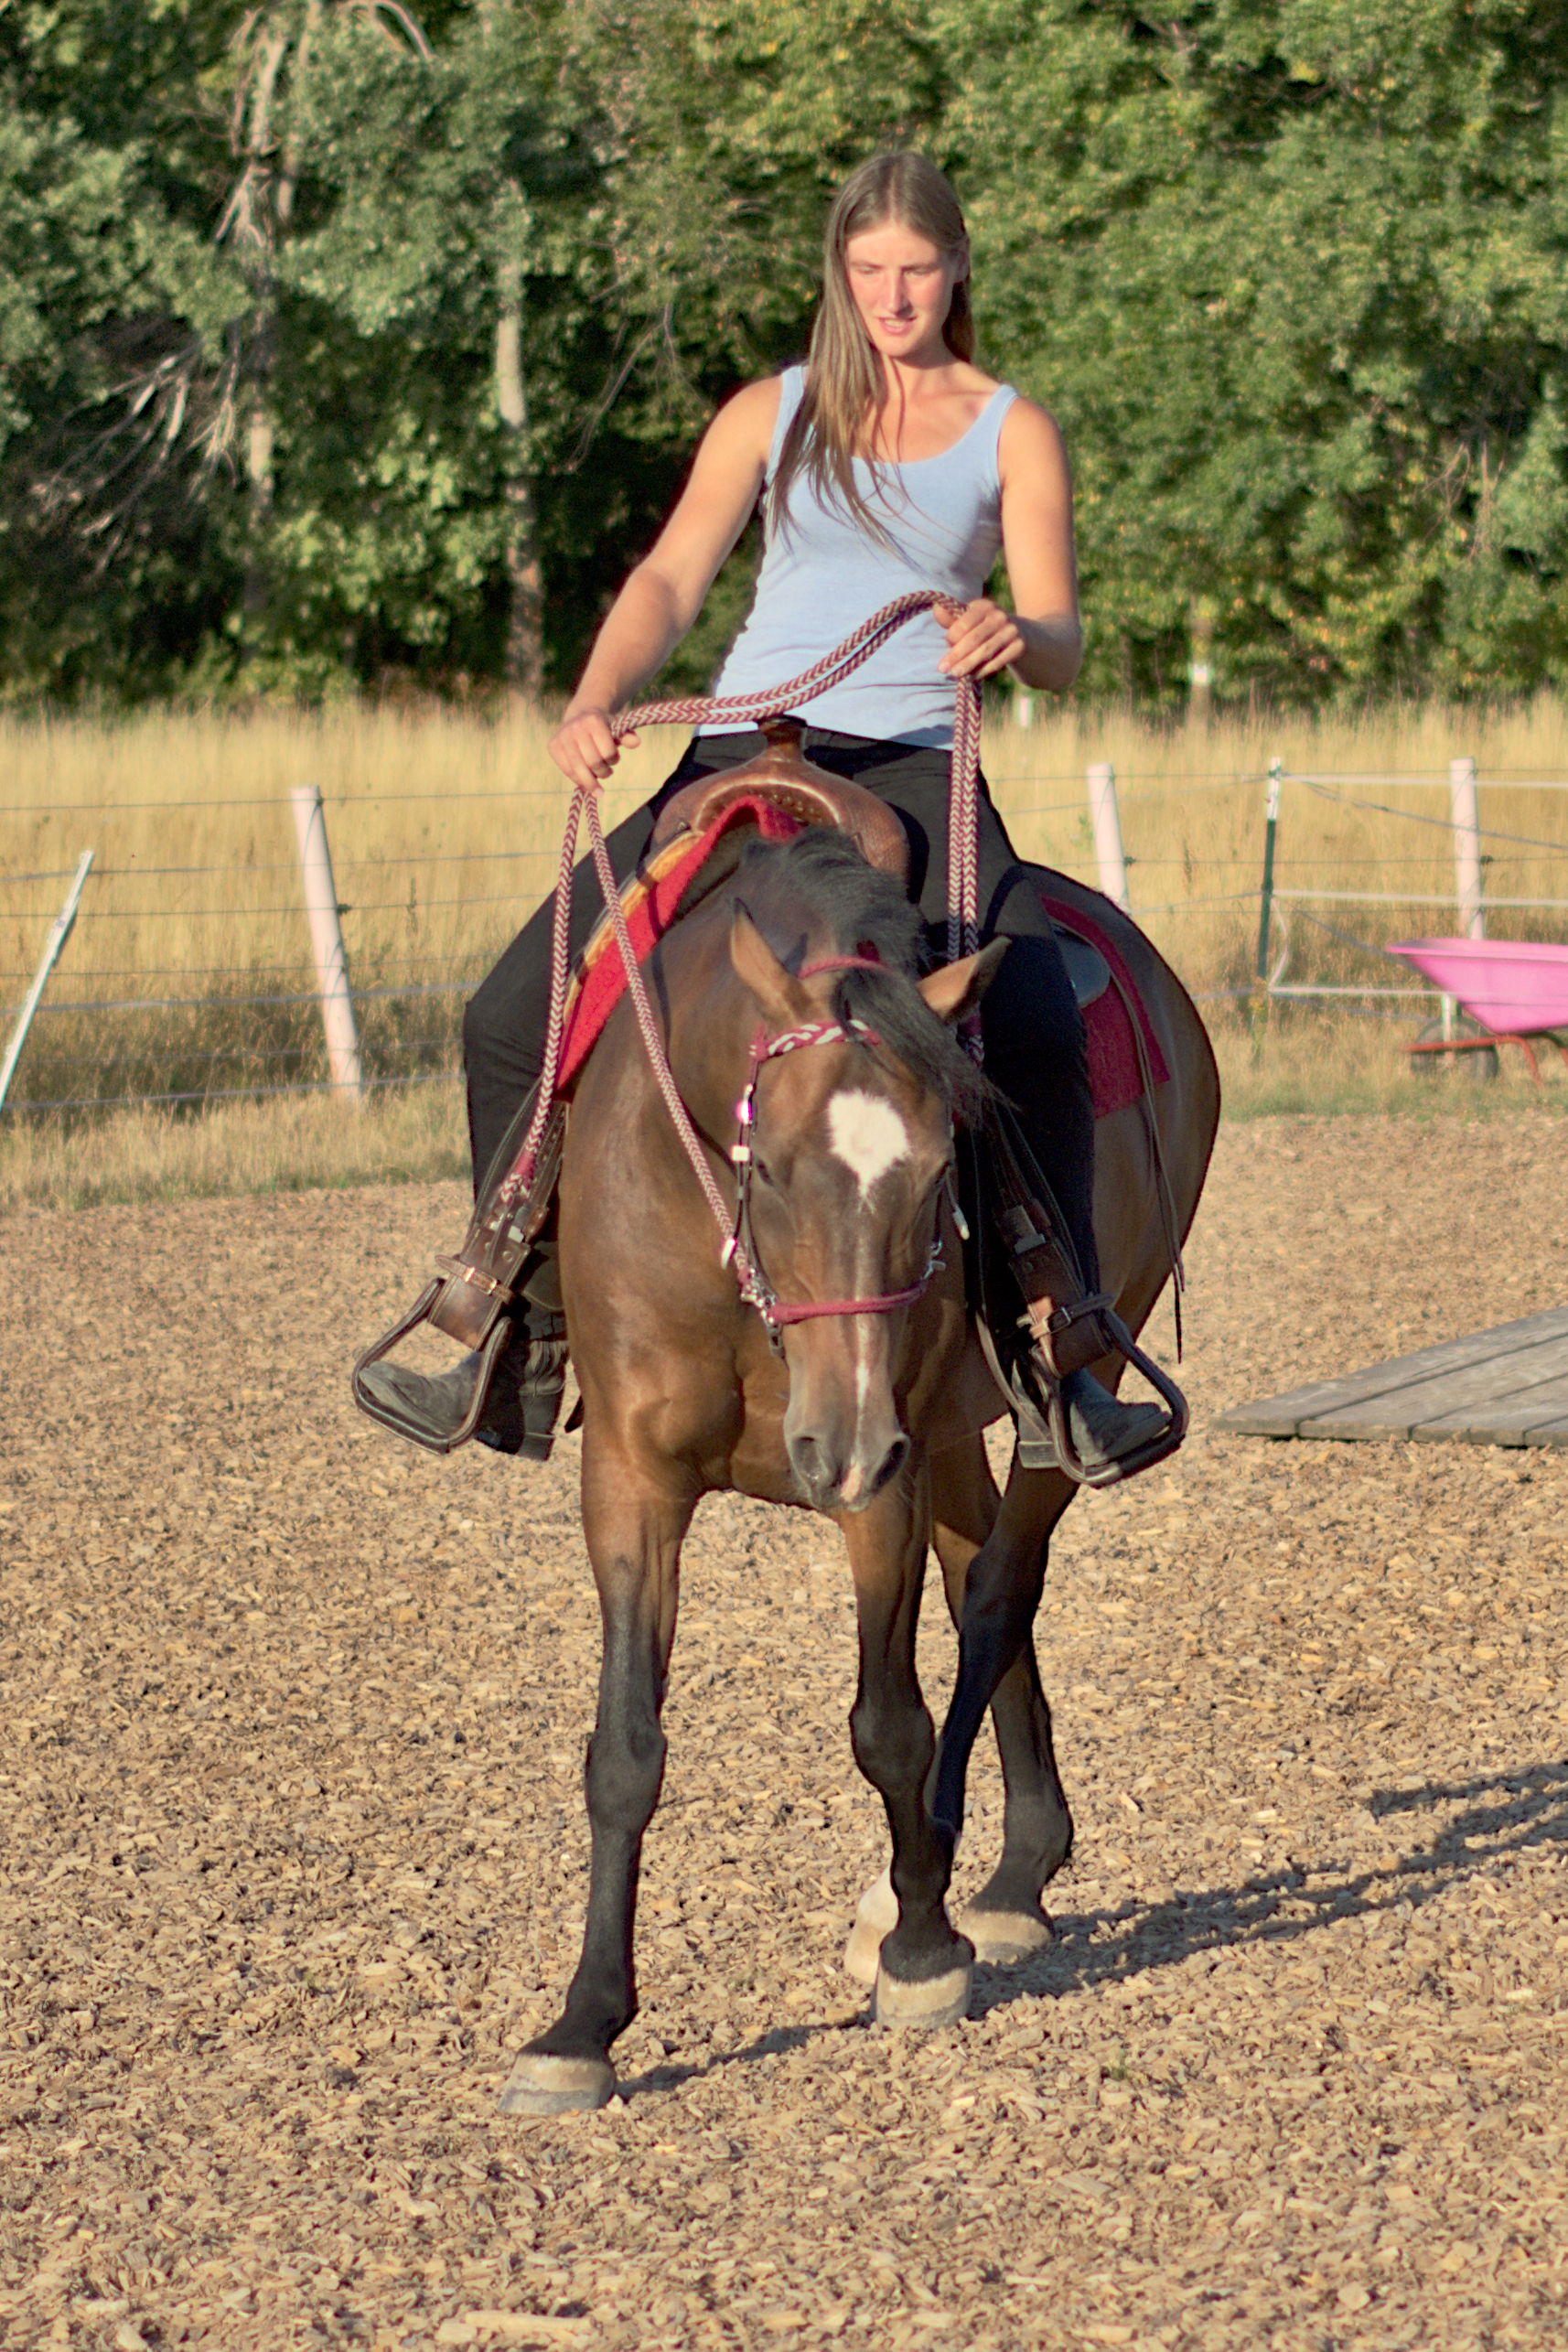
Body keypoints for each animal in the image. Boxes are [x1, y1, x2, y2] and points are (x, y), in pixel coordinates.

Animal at [496, 822, 1222, 2116]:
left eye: (943, 1172)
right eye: (771, 1164)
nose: (835, 1445)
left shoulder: (886, 1477)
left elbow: (889, 1718)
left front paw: (922, 1954)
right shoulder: (631, 1480)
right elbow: (625, 1747)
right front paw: (582, 2026)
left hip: (1050, 1385)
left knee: (996, 1597)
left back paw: (944, 1885)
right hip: (949, 1435)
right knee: (985, 1577)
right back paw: (1004, 1868)